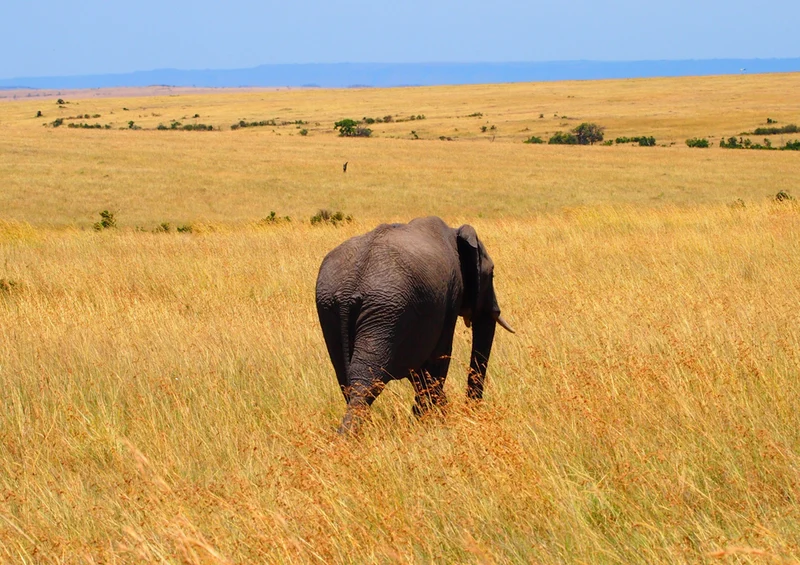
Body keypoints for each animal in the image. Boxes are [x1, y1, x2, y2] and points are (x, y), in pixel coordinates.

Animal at [315, 216, 514, 434]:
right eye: (492, 274)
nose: (471, 411)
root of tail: (350, 287)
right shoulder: (450, 296)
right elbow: (439, 357)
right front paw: (433, 418)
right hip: (384, 310)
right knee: (366, 379)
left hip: (333, 309)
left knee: (346, 378)